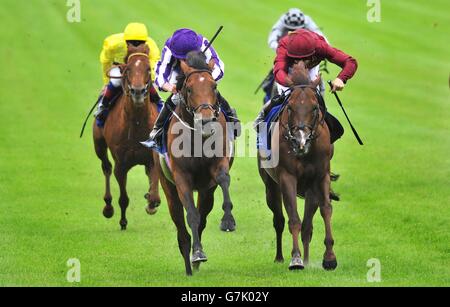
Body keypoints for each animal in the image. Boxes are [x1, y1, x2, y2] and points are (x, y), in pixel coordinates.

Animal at [92, 44, 161, 231]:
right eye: (128, 69)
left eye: (148, 68)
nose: (138, 91)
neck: (136, 123)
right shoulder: (121, 165)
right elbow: (123, 198)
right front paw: (123, 221)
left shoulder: (151, 158)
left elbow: (154, 193)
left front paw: (151, 202)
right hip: (99, 145)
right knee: (106, 167)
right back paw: (108, 207)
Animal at [162, 51, 237, 276]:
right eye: (189, 88)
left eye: (214, 86)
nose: (205, 121)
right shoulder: (181, 177)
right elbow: (191, 216)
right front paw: (197, 254)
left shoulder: (217, 165)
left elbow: (223, 179)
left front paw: (228, 220)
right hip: (168, 188)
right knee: (181, 223)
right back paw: (189, 263)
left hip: (206, 191)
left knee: (203, 217)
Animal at [256, 62, 338, 272]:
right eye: (290, 107)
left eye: (315, 107)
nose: (300, 139)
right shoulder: (287, 177)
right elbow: (293, 218)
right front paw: (296, 258)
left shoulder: (320, 177)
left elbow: (326, 210)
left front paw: (329, 258)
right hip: (271, 186)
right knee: (278, 220)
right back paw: (280, 257)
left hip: (310, 190)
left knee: (308, 225)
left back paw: (308, 259)